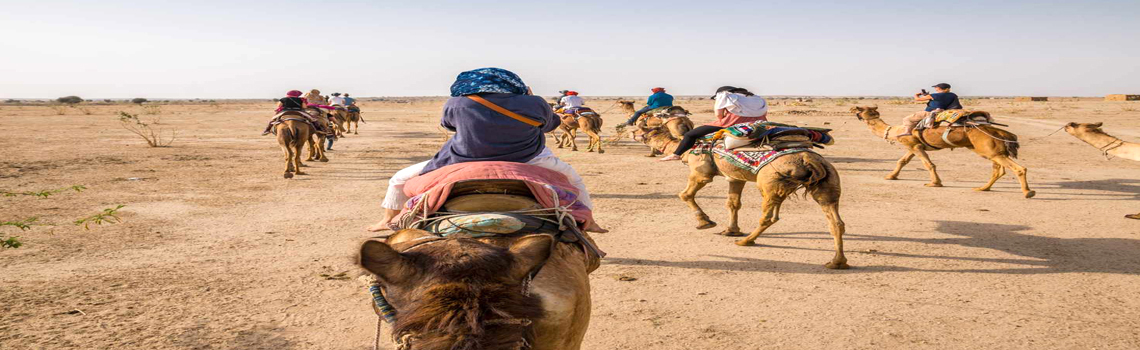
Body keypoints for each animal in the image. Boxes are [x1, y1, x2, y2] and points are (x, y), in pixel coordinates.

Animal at [638, 127, 852, 270]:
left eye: (648, 129)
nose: (638, 134)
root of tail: (809, 160)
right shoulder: (735, 178)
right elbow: (733, 203)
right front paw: (730, 230)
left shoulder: (700, 172)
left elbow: (685, 194)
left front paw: (705, 222)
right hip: (827, 183)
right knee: (836, 222)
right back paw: (837, 262)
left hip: (768, 183)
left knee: (768, 217)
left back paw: (746, 241)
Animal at [852, 105, 1039, 198]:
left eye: (861, 109)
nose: (852, 109)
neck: (894, 130)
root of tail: (999, 131)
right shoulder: (913, 146)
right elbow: (902, 161)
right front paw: (891, 176)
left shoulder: (914, 145)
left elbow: (929, 164)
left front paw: (935, 183)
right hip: (989, 150)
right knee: (999, 169)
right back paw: (982, 188)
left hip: (988, 149)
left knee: (1018, 168)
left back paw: (1028, 192)